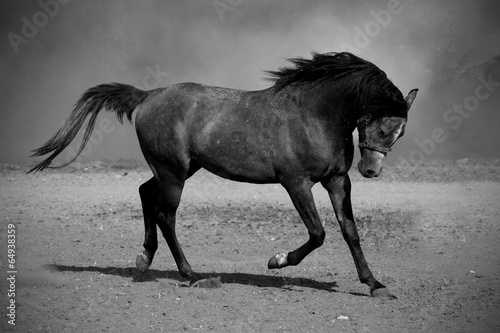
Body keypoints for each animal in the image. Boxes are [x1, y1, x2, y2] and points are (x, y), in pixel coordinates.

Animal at [29, 52, 416, 298]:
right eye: (383, 128)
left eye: (401, 133)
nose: (371, 170)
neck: (314, 115)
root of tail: (149, 95)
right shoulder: (296, 183)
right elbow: (318, 233)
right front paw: (277, 261)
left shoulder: (337, 180)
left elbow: (350, 231)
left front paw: (375, 284)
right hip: (174, 173)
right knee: (165, 215)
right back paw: (192, 276)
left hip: (180, 169)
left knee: (144, 193)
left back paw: (144, 260)